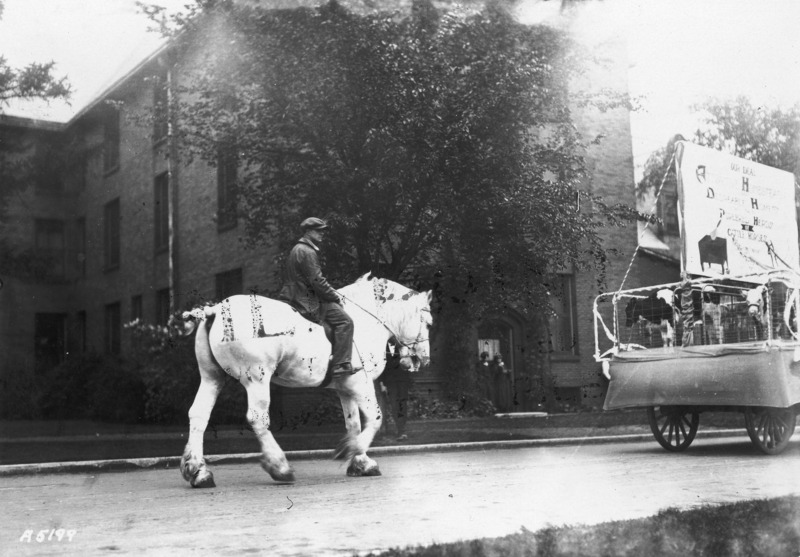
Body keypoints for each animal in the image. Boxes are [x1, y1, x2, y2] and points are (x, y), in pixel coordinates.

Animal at [176, 274, 432, 486]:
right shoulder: (361, 383)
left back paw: (198, 471)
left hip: (212, 378)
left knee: (198, 415)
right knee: (257, 419)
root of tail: (215, 310)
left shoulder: (345, 388)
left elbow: (354, 424)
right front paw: (351, 451)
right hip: (257, 379)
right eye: (428, 323)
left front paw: (360, 462)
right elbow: (375, 419)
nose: (424, 359)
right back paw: (280, 467)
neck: (365, 321)